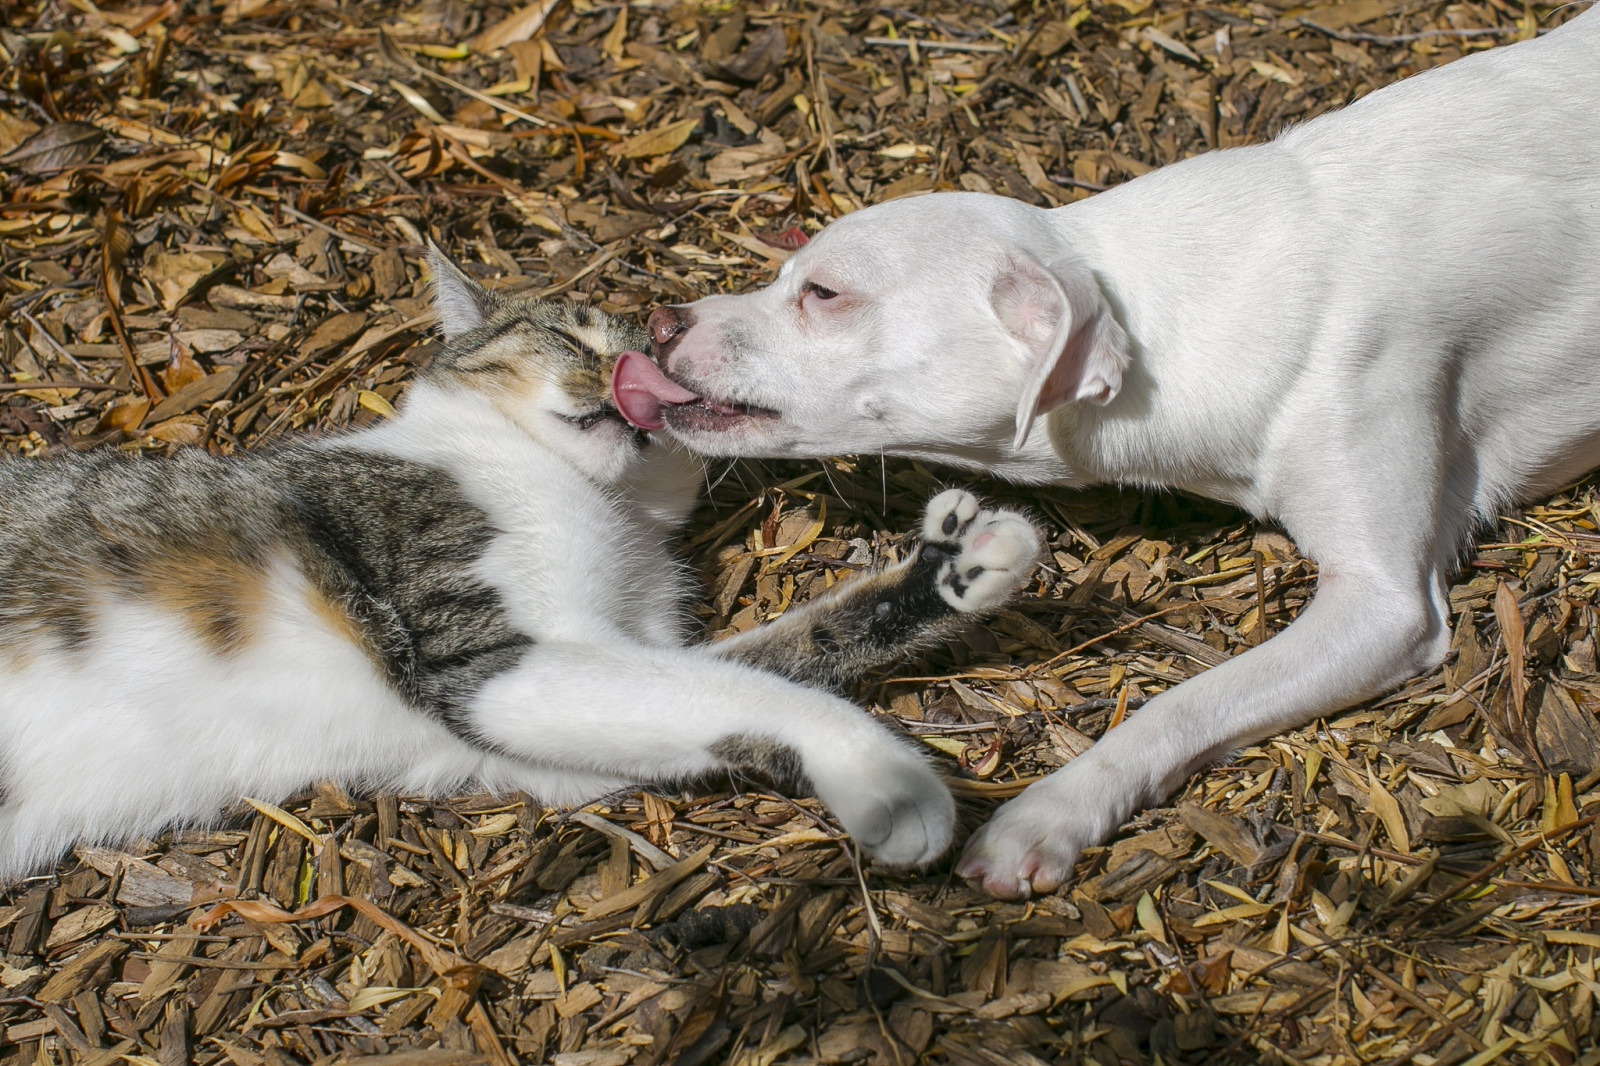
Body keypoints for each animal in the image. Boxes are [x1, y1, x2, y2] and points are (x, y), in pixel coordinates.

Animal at [0, 244, 1043, 877]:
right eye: (567, 334)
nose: (632, 373)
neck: (603, 509)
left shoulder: (556, 716)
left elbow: (769, 668)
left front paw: (954, 571)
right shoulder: (488, 659)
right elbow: (770, 693)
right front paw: (886, 776)